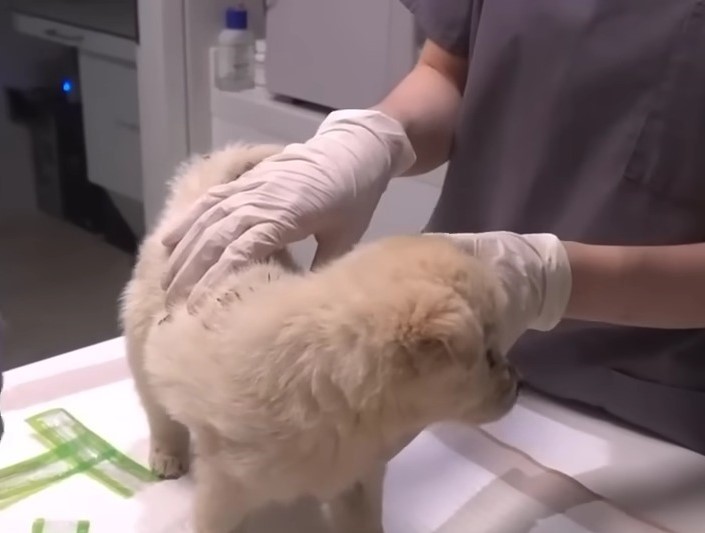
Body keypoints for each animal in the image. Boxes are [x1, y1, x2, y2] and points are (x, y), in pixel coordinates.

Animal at [119, 143, 516, 528]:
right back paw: (167, 457)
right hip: (142, 349)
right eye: (489, 356)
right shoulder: (226, 483)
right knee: (160, 415)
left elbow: (363, 522)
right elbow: (212, 522)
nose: (516, 380)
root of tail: (199, 194)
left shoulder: (359, 476)